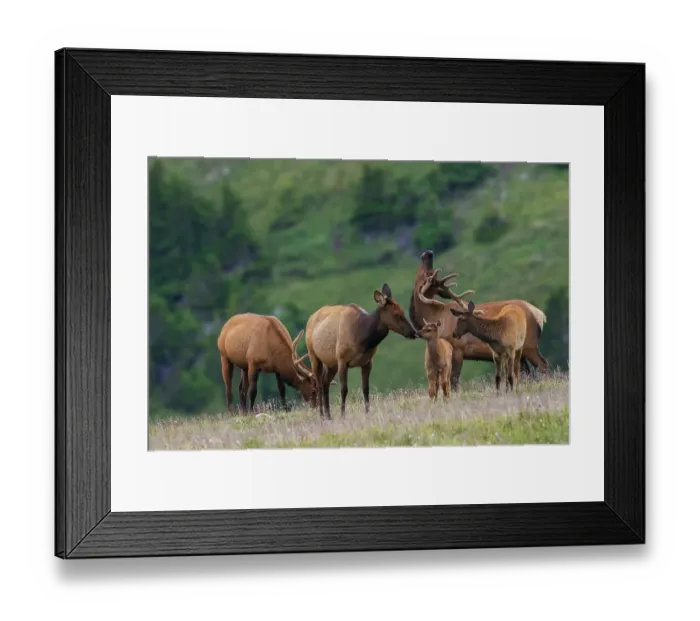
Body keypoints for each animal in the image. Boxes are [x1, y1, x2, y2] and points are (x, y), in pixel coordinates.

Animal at [305, 283, 418, 420]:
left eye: (402, 311)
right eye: (396, 314)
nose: (413, 332)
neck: (361, 340)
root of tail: (310, 318)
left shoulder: (367, 362)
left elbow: (365, 388)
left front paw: (367, 413)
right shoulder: (342, 359)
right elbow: (344, 389)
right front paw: (343, 415)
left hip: (331, 363)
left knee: (325, 381)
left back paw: (328, 415)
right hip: (313, 355)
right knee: (319, 383)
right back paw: (322, 415)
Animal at [409, 249, 549, 392]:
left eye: (428, 274)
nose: (429, 253)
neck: (437, 317)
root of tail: (540, 314)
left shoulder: (458, 348)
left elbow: (454, 379)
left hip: (530, 344)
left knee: (543, 365)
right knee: (525, 372)